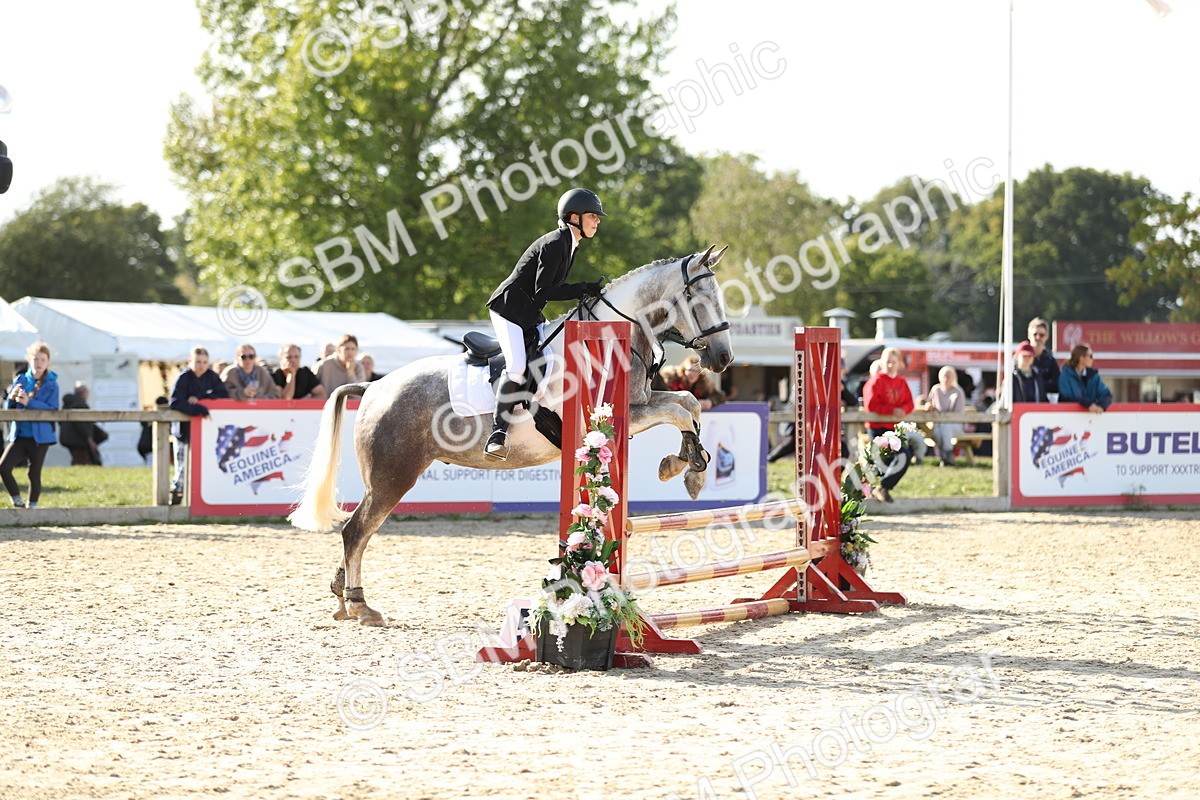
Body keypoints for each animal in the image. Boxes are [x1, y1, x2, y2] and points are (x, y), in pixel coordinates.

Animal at [288, 245, 735, 625]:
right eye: (699, 300)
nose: (723, 358)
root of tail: (374, 387)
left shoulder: (642, 402)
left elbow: (688, 403)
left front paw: (689, 465)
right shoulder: (621, 414)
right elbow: (679, 409)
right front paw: (686, 467)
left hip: (385, 478)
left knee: (357, 531)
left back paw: (342, 597)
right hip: (392, 477)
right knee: (356, 530)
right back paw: (360, 606)